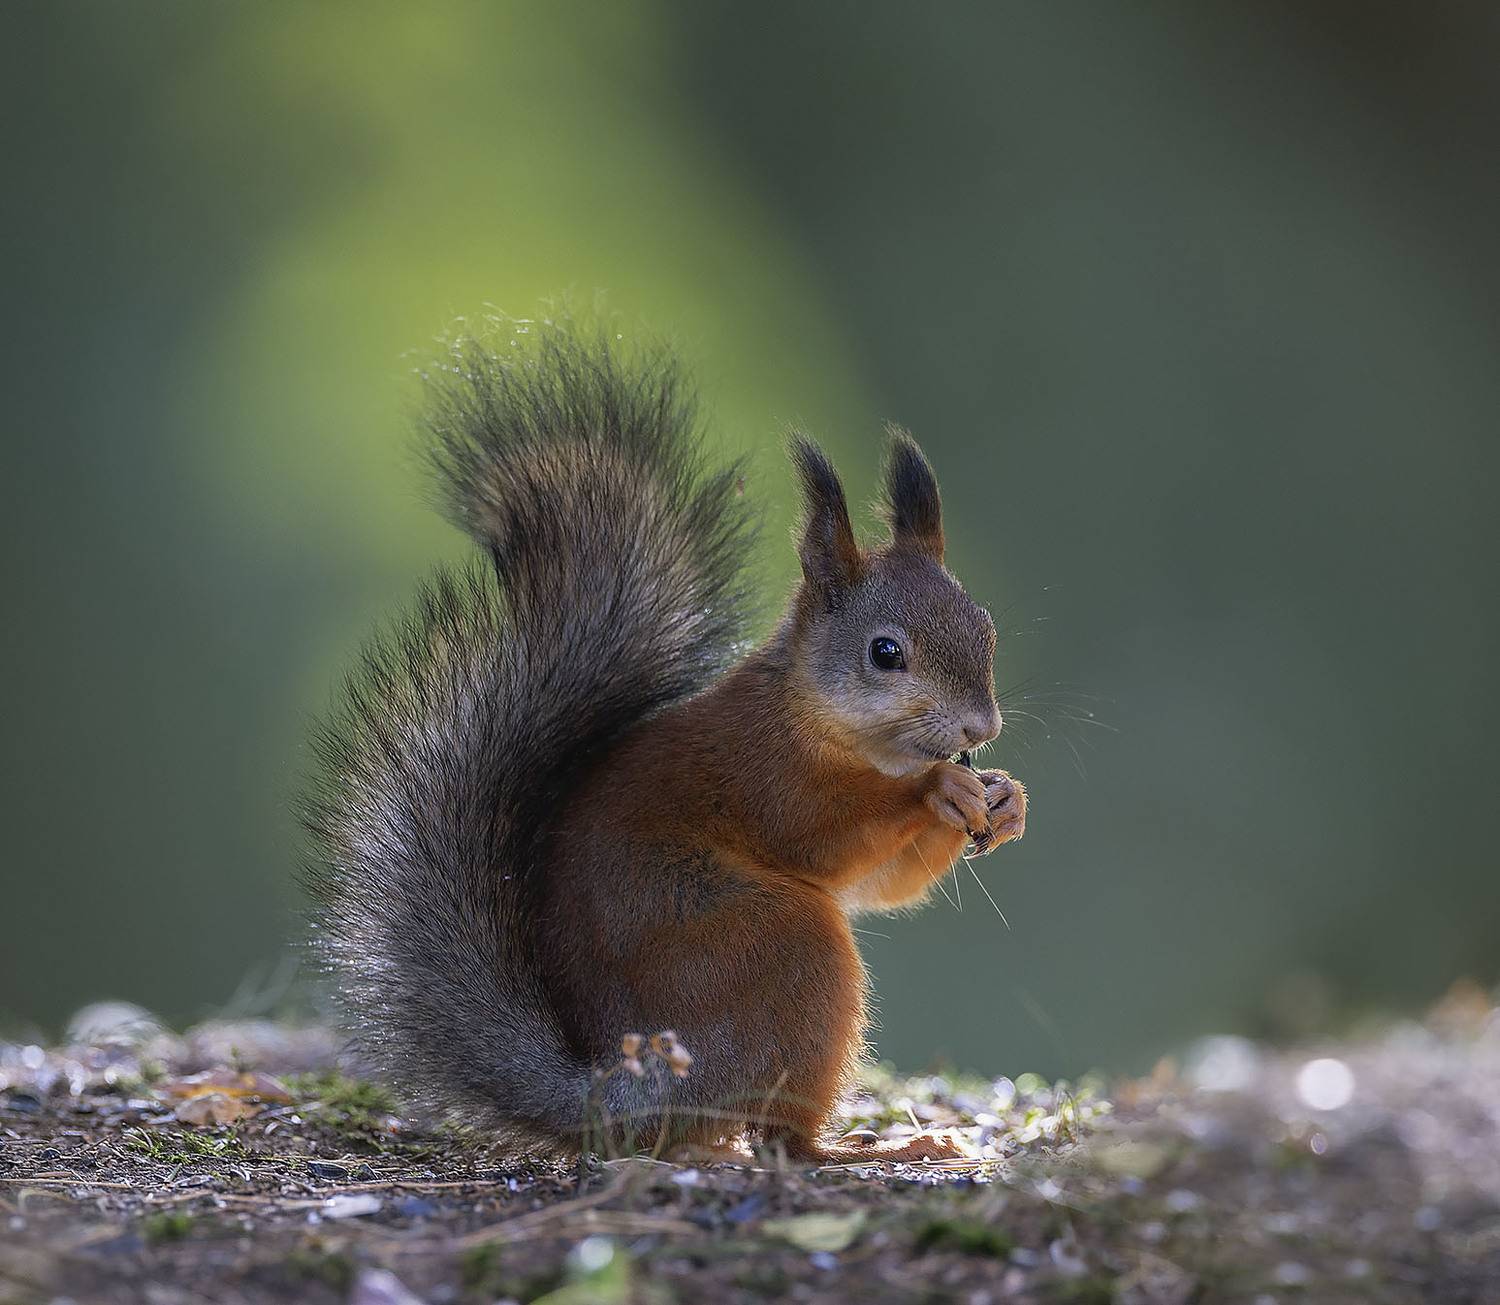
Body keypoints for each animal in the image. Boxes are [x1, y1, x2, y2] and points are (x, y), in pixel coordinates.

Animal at [303, 322, 1027, 1165]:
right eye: (886, 652)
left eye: (985, 628)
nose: (981, 729)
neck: (825, 724)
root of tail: (628, 1094)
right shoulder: (762, 770)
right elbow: (823, 838)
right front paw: (938, 788)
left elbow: (888, 885)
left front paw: (1005, 799)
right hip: (779, 948)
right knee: (782, 1135)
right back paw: (863, 1148)